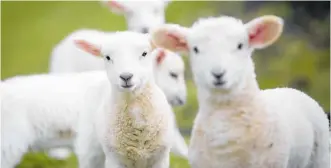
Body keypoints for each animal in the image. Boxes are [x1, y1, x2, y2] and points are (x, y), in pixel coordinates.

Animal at [0, 31, 174, 168]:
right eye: (107, 57)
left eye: (144, 53)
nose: (126, 77)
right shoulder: (113, 159)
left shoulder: (160, 158)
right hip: (9, 144)